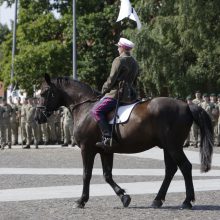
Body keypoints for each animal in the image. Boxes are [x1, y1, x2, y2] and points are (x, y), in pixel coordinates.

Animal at [35, 75, 213, 210]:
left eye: (44, 93)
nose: (38, 117)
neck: (86, 108)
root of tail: (186, 105)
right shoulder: (106, 151)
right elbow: (107, 175)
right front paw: (124, 197)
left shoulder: (87, 149)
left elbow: (87, 174)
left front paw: (81, 200)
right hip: (167, 147)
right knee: (170, 170)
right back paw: (157, 200)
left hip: (173, 146)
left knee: (185, 167)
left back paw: (187, 201)